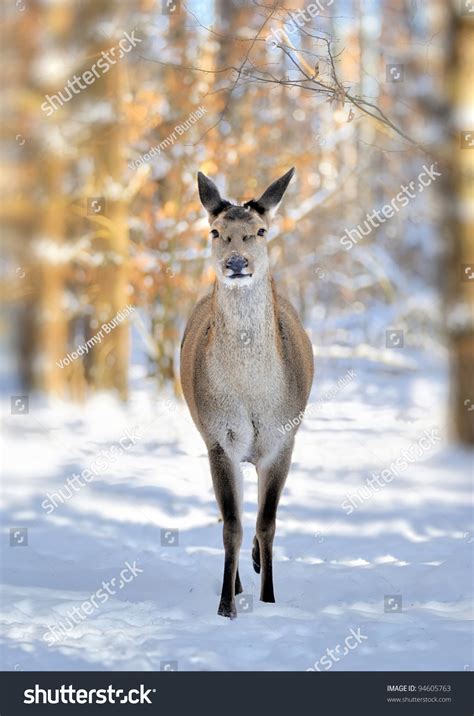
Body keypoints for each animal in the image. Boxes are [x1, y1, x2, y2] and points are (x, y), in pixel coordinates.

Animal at [180, 168, 312, 616]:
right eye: (215, 231)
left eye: (260, 230)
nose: (237, 263)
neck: (254, 398)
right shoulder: (219, 439)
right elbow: (232, 525)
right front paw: (226, 605)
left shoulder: (283, 439)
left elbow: (267, 524)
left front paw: (269, 597)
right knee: (230, 517)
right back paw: (239, 581)